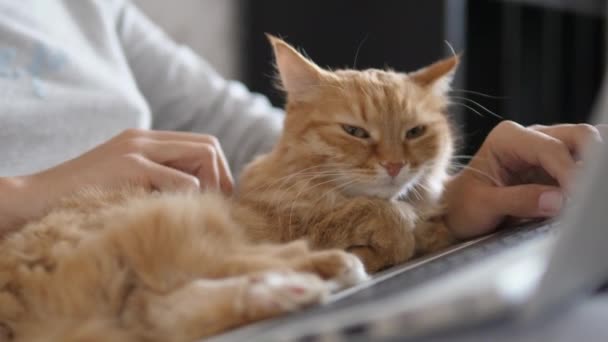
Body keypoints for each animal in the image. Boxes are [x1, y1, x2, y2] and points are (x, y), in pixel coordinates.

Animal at [0, 36, 456, 340]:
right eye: (356, 132)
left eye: (414, 132)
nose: (396, 165)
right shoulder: (308, 222)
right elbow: (386, 215)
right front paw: (400, 233)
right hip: (179, 222)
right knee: (213, 272)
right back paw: (328, 269)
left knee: (161, 312)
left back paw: (286, 291)